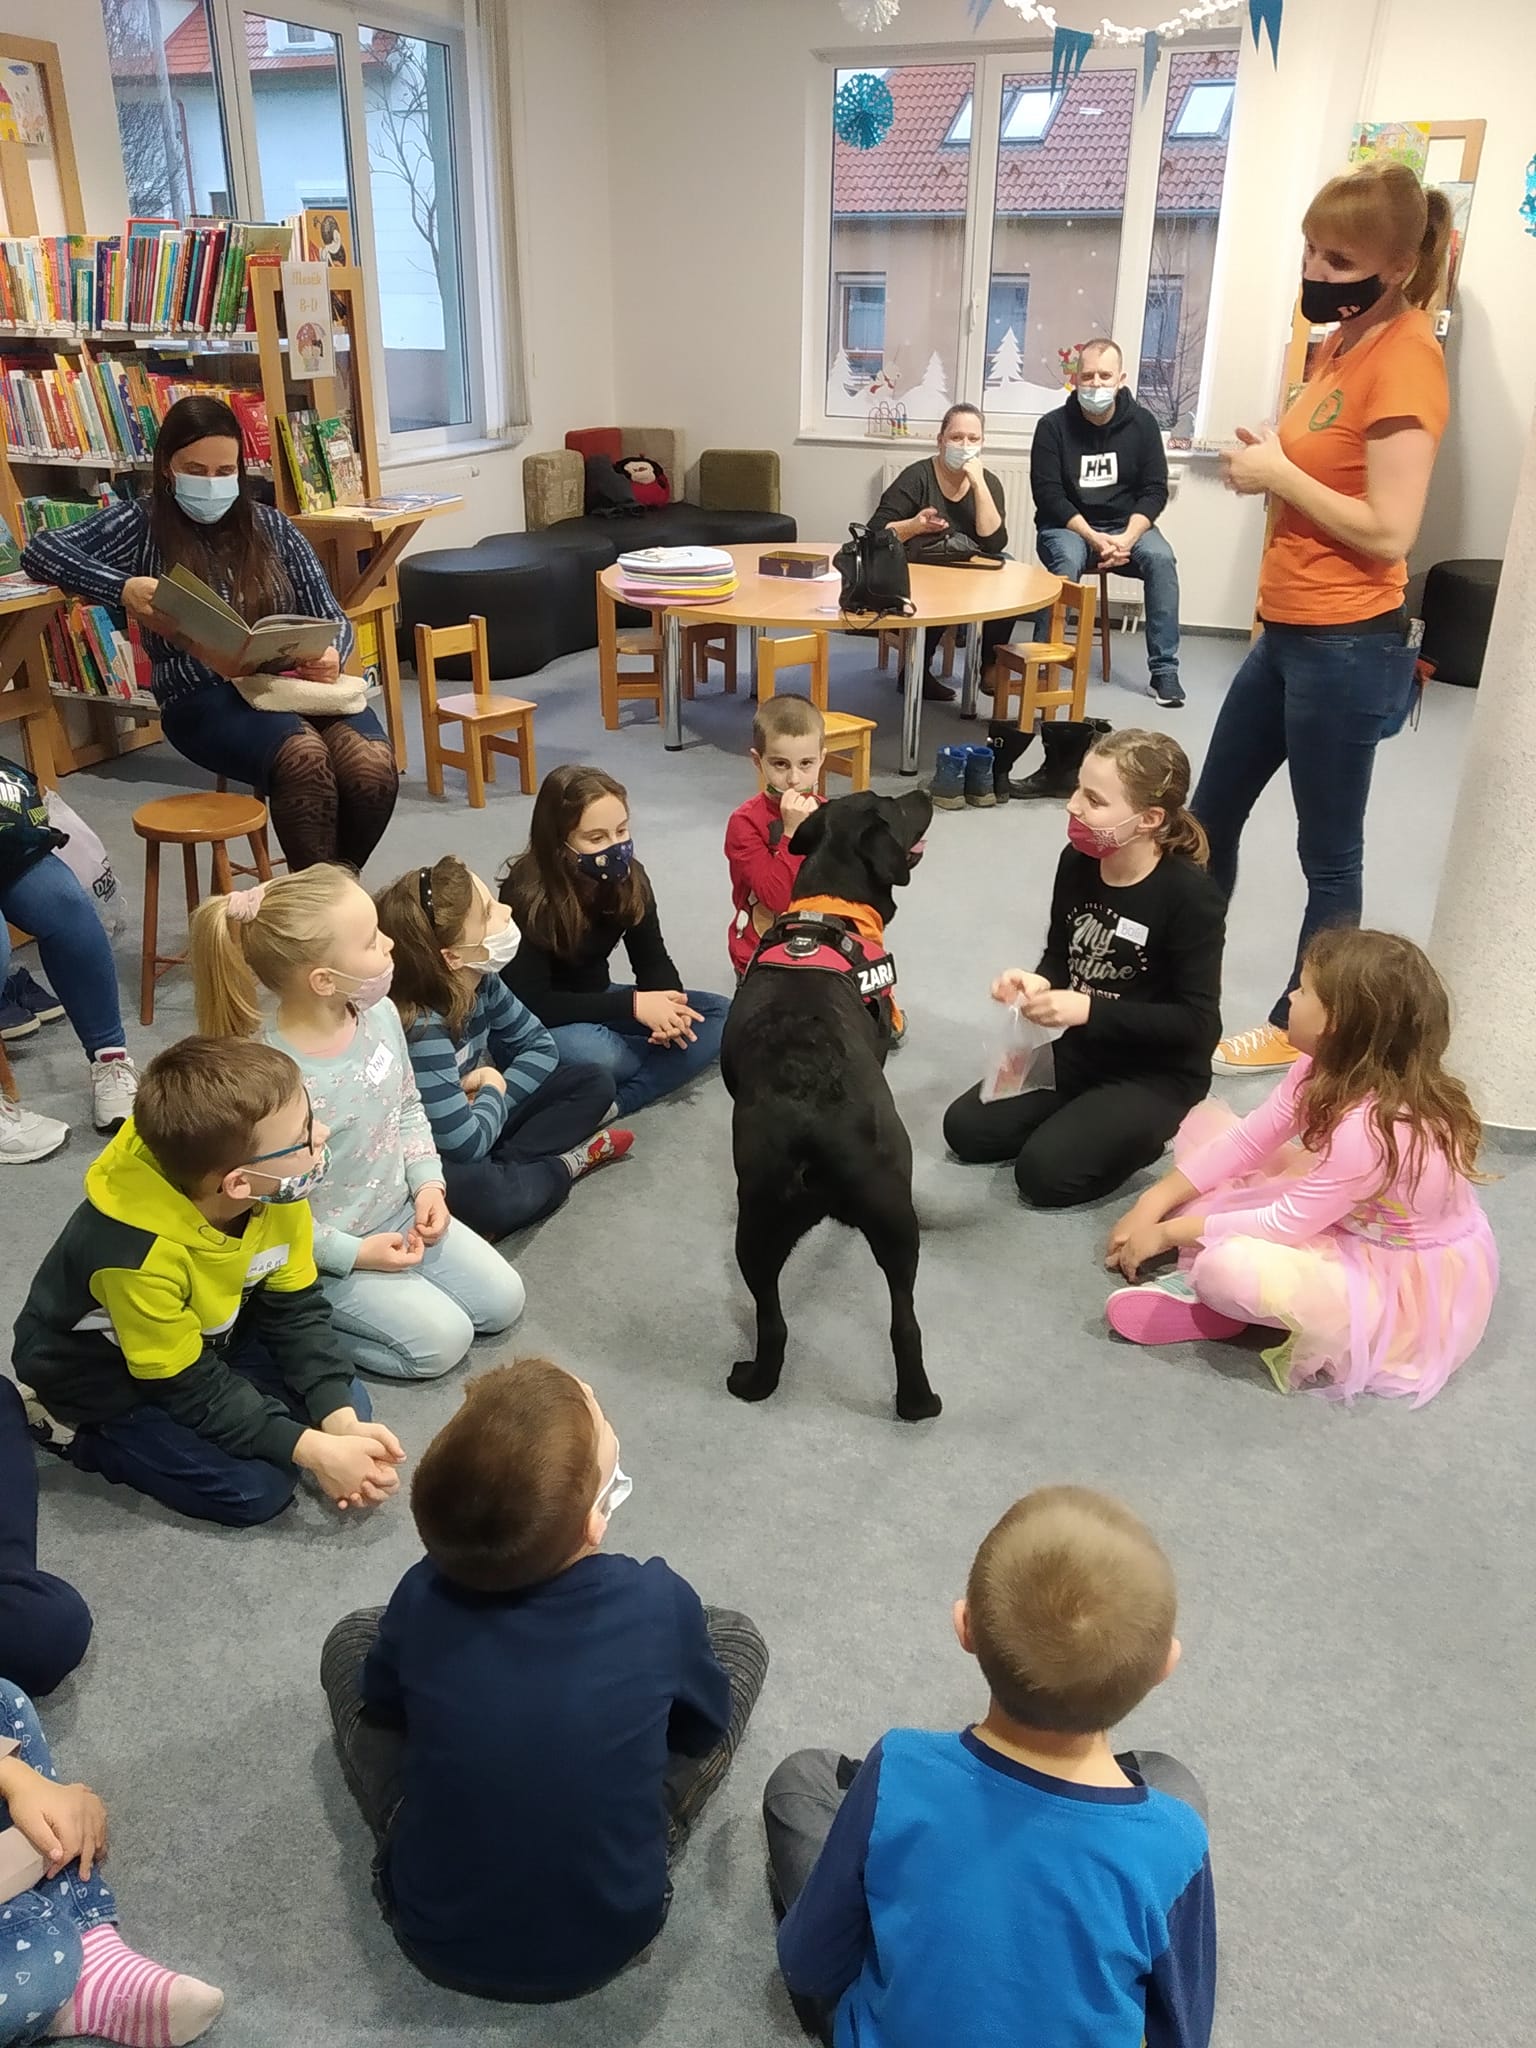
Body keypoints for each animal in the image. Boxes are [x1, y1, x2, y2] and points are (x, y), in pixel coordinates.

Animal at [720, 788, 939, 1422]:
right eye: (896, 807)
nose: (923, 792)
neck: (831, 906)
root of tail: (815, 1128)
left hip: (780, 1227)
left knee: (793, 1323)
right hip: (878, 1219)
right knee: (884, 1324)